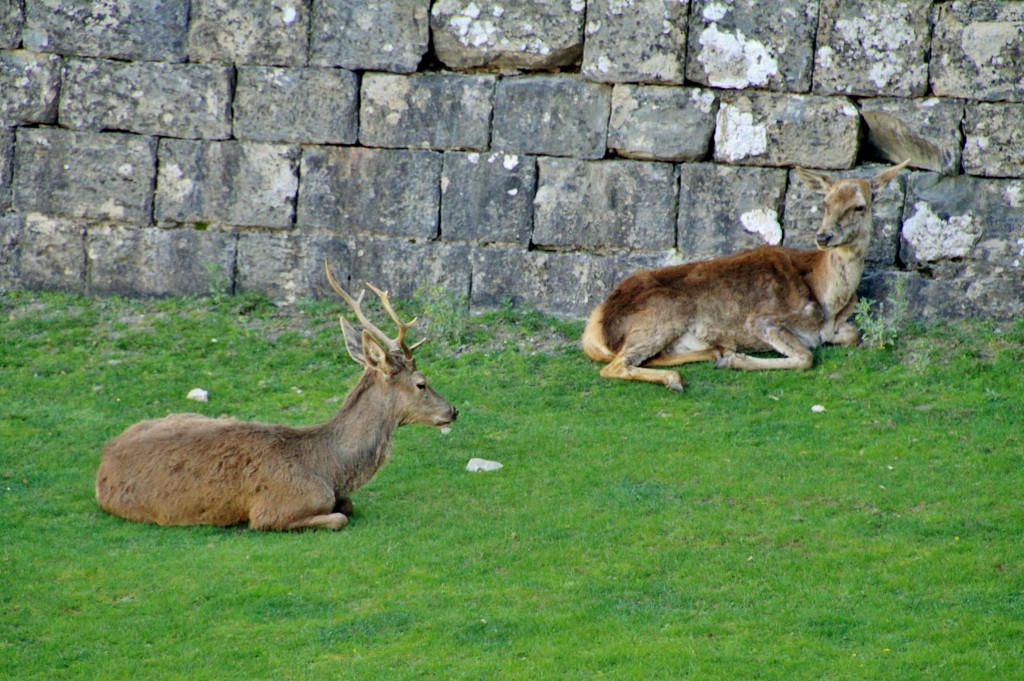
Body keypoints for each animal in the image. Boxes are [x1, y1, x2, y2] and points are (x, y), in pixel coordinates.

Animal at [96, 260, 456, 532]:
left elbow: (348, 504)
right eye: (422, 383)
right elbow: (339, 517)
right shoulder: (272, 510)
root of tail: (104, 457)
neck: (327, 470)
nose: (452, 410)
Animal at [581, 161, 909, 391]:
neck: (826, 300)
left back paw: (716, 352)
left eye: (860, 206)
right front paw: (737, 361)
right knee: (615, 365)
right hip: (665, 311)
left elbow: (853, 334)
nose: (823, 236)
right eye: (825, 203)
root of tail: (593, 329)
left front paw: (730, 358)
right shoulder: (762, 319)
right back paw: (679, 377)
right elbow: (806, 356)